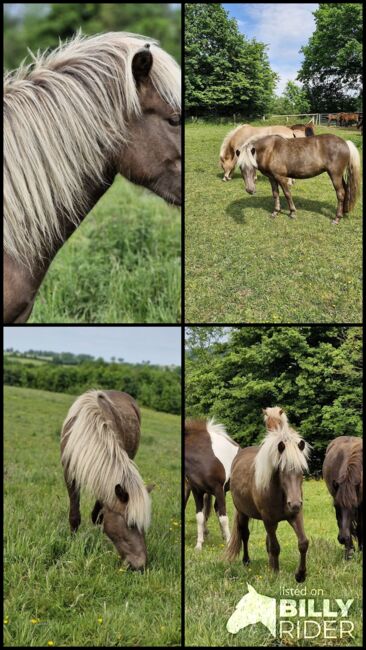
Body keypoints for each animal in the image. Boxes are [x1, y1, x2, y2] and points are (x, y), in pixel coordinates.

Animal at [60, 390, 153, 568]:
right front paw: (72, 543)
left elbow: (98, 514)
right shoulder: (70, 474)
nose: (140, 565)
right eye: (130, 524)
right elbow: (75, 515)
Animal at [186, 418, 240, 548]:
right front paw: (199, 544)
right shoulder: (197, 490)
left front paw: (229, 543)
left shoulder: (218, 488)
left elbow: (224, 517)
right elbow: (200, 517)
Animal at [227, 404, 310, 584]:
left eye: (301, 471)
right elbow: (275, 547)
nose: (294, 504)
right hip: (243, 513)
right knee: (245, 534)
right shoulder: (269, 520)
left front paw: (300, 574)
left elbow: (303, 543)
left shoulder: (295, 515)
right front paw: (275, 573)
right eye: (282, 470)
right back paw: (246, 561)